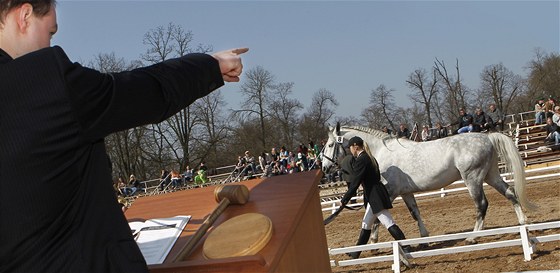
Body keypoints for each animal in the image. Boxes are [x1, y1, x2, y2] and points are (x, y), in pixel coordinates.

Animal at [322, 123, 536, 242]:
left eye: (331, 144)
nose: (324, 167)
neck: (380, 152)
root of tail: (488, 137)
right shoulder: (405, 192)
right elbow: (415, 213)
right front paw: (424, 237)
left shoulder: (389, 191)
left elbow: (376, 214)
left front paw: (374, 240)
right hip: (491, 176)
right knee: (510, 193)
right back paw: (523, 223)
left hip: (473, 179)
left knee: (481, 205)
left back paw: (473, 237)